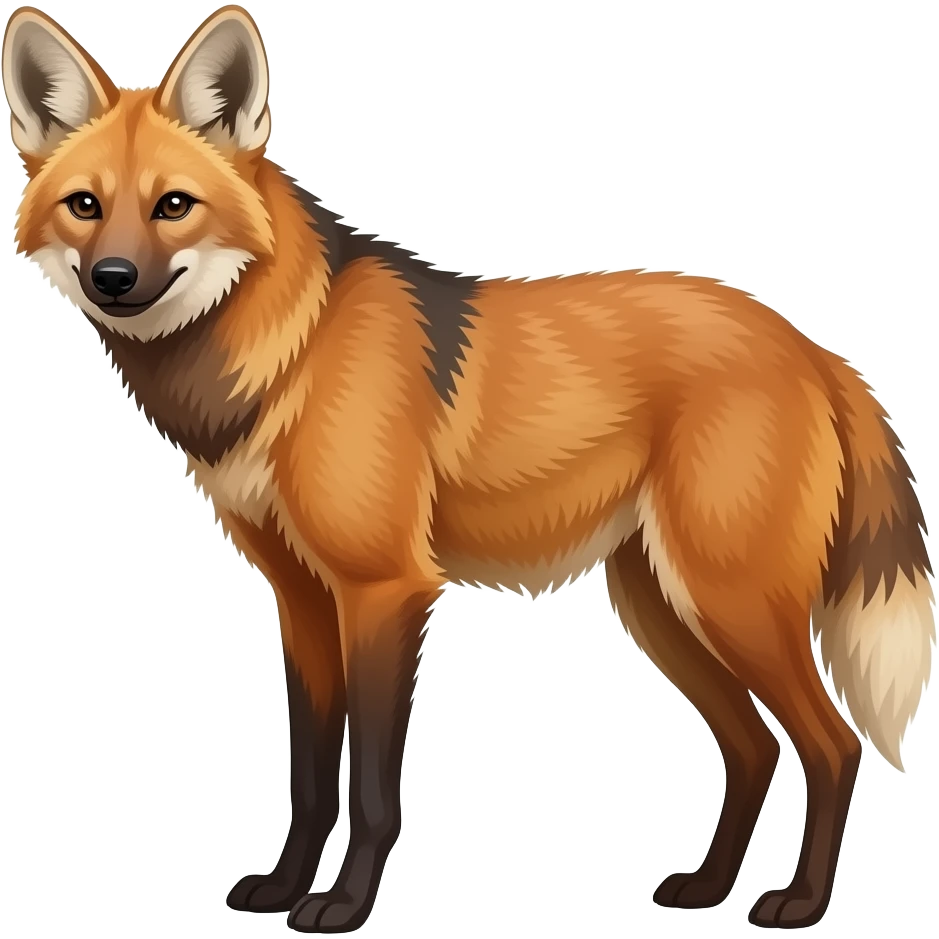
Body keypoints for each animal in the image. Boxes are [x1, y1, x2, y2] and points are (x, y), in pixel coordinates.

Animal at [2, 4, 935, 932]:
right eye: (86, 206)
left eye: (174, 206)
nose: (114, 277)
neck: (291, 350)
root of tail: (814, 348)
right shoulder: (301, 600)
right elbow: (310, 776)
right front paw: (283, 888)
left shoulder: (385, 590)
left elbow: (372, 788)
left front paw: (343, 906)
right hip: (664, 610)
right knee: (752, 747)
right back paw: (707, 887)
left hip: (728, 603)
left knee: (831, 743)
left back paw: (800, 902)